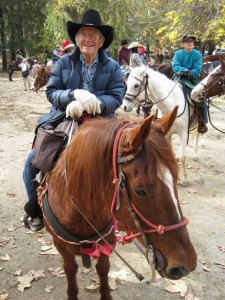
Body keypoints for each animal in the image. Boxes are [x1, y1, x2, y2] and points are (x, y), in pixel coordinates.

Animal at [38, 108, 197, 300]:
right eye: (140, 190)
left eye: (175, 178)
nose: (186, 265)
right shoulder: (61, 245)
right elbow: (70, 269)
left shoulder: (108, 241)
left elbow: (103, 268)